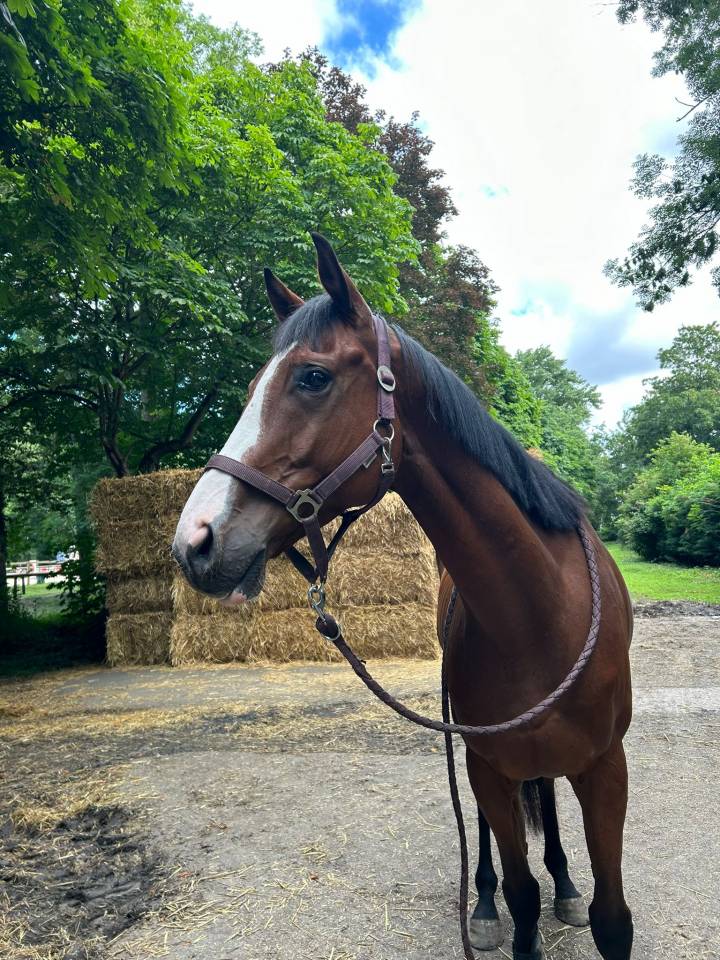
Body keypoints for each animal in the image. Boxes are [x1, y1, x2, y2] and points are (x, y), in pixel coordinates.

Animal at [173, 233, 634, 960]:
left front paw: (570, 891)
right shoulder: (487, 765)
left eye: (312, 378)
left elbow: (611, 916)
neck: (541, 614)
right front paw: (505, 906)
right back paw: (484, 900)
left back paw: (564, 881)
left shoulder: (607, 770)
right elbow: (520, 892)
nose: (195, 540)